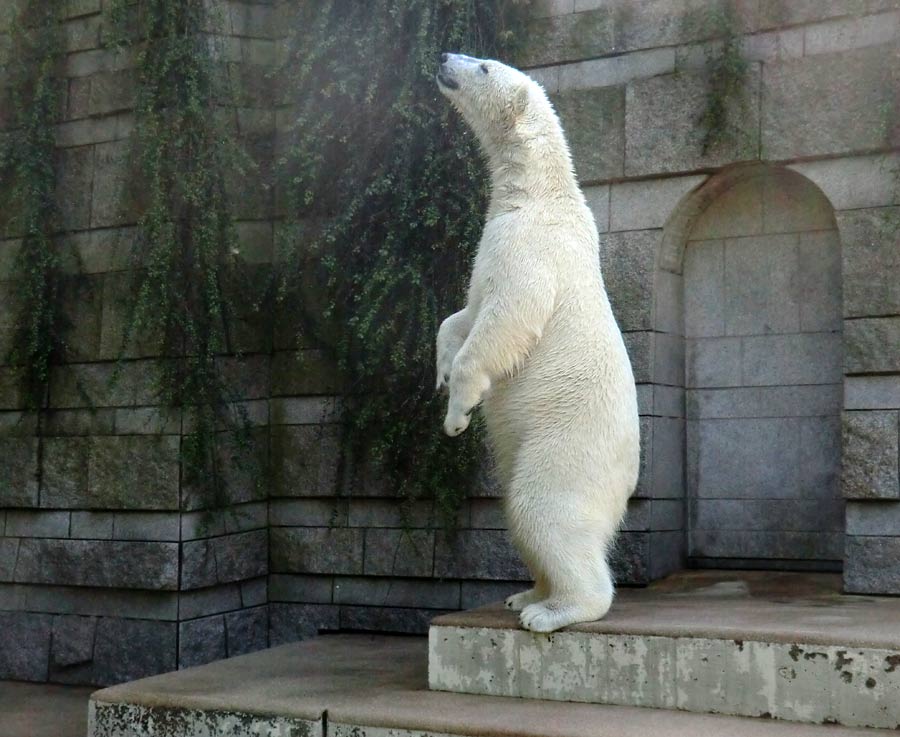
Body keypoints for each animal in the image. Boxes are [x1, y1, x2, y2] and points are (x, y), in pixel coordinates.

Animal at [436, 54, 640, 636]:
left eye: (483, 66)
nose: (444, 59)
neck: (542, 192)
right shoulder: (493, 241)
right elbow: (463, 314)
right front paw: (440, 368)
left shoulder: (530, 245)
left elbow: (507, 318)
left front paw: (458, 412)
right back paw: (526, 594)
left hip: (569, 442)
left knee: (541, 508)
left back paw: (552, 612)